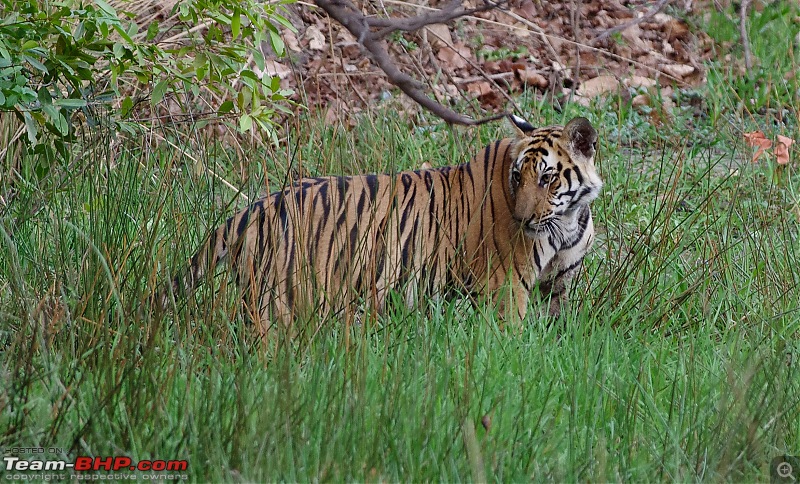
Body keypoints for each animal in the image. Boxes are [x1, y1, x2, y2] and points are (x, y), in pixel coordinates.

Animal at [155, 115, 600, 330]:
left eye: (546, 177)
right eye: (517, 176)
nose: (524, 218)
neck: (568, 221)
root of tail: (250, 211)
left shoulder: (558, 288)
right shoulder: (508, 286)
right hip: (280, 302)